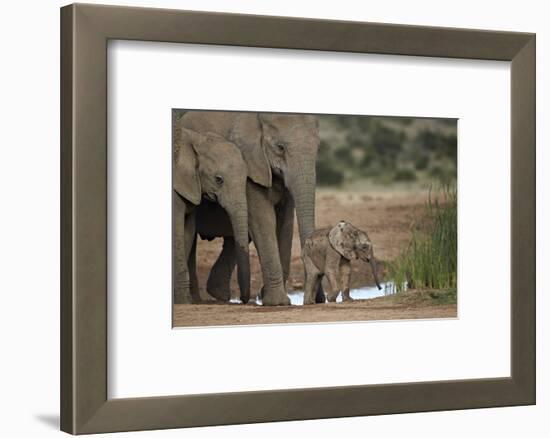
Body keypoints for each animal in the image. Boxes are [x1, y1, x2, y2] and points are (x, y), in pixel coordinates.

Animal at [180, 111, 324, 306]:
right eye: (280, 147)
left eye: (317, 147)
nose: (318, 300)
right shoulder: (251, 165)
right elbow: (263, 220)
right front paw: (277, 302)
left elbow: (285, 223)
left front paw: (266, 297)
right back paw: (196, 300)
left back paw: (217, 294)